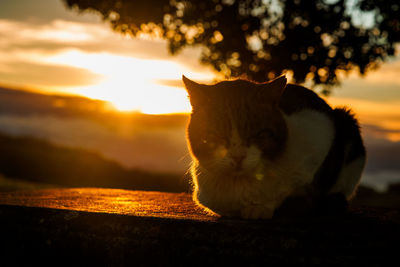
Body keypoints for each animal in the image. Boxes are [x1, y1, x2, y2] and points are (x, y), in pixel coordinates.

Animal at [182, 75, 366, 220]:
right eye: (217, 134)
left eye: (257, 134)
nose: (237, 156)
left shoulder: (321, 129)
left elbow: (298, 190)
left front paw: (260, 208)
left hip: (345, 119)